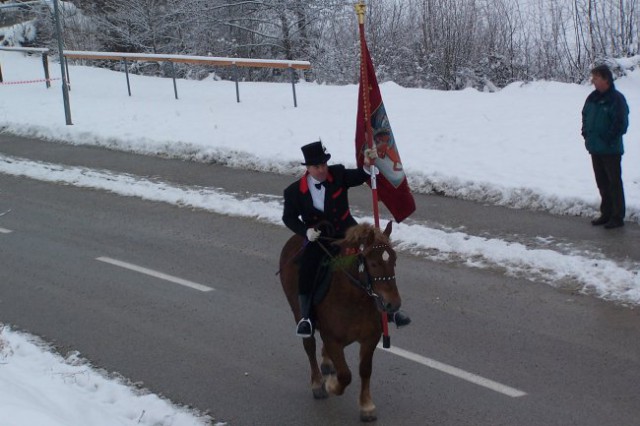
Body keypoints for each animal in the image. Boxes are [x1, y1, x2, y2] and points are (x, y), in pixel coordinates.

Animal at [278, 221, 402, 422]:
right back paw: (318, 383)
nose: (393, 304)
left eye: (394, 260)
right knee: (309, 346)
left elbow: (365, 369)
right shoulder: (333, 339)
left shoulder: (370, 339)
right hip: (298, 312)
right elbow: (345, 375)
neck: (355, 299)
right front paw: (330, 385)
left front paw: (366, 406)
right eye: (373, 263)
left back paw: (327, 364)